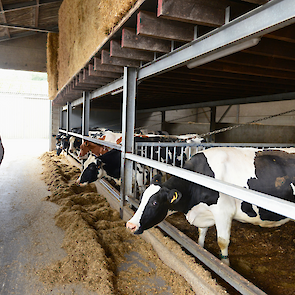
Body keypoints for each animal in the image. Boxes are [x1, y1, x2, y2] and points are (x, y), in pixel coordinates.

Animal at [126, 148, 295, 266]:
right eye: (142, 197)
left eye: (154, 203)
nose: (130, 225)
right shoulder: (204, 213)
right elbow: (201, 233)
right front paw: (200, 252)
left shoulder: (223, 212)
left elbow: (222, 241)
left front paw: (225, 265)